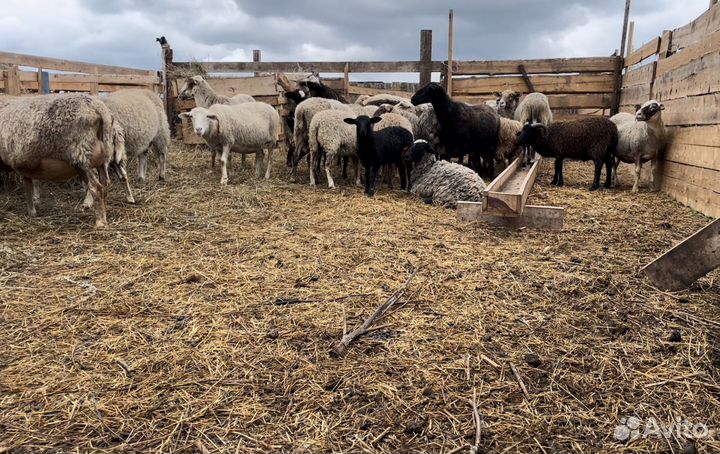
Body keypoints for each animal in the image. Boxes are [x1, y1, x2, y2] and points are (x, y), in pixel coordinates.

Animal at [0, 93, 126, 227]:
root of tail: (101, 110)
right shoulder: (25, 165)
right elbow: (28, 186)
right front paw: (32, 211)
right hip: (102, 160)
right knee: (105, 186)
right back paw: (103, 216)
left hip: (81, 157)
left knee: (96, 188)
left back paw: (100, 222)